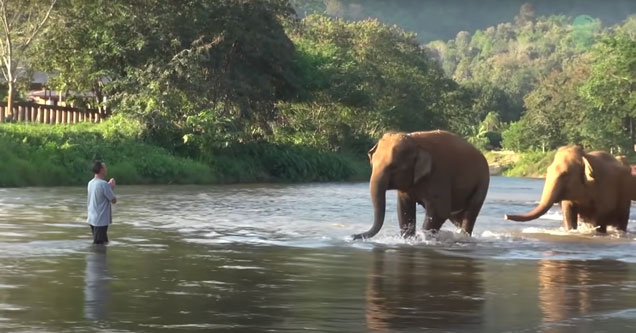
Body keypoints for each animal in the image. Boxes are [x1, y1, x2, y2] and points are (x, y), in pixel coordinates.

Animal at [350, 129, 490, 239]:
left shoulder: (440, 175)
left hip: (482, 183)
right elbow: (404, 209)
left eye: (394, 167)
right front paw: (408, 239)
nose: (352, 236)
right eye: (372, 163)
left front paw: (423, 238)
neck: (415, 143)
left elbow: (440, 211)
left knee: (470, 213)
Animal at [504, 145, 632, 231]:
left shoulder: (604, 186)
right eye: (548, 171)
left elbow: (599, 217)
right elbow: (568, 212)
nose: (505, 216)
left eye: (565, 174)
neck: (585, 157)